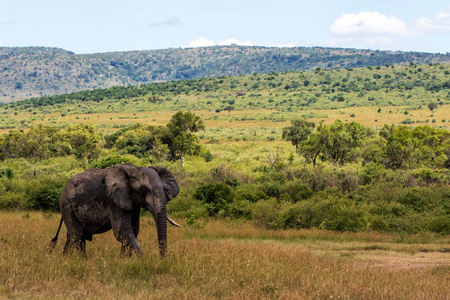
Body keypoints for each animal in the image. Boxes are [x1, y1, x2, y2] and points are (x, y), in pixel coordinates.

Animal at [45, 163, 179, 256]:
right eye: (143, 190)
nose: (162, 261)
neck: (135, 169)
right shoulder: (113, 200)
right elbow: (123, 232)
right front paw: (145, 261)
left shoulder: (132, 202)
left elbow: (133, 230)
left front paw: (125, 260)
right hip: (66, 206)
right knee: (77, 234)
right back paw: (82, 261)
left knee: (72, 235)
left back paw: (65, 258)